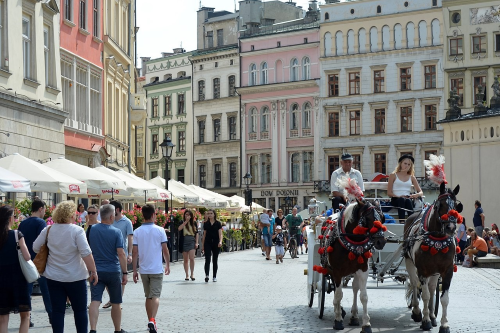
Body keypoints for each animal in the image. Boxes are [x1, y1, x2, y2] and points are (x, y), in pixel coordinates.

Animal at [316, 200, 386, 332]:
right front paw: (338, 320)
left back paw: (354, 316)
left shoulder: (363, 270)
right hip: (331, 270)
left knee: (354, 288)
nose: (381, 241)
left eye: (382, 218)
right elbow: (339, 294)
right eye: (368, 218)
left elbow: (363, 296)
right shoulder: (337, 271)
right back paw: (338, 310)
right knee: (336, 290)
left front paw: (366, 324)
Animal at [402, 182, 460, 332]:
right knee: (414, 284)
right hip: (409, 262)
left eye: (456, 206)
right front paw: (425, 320)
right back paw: (417, 312)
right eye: (440, 205)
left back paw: (433, 316)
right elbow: (425, 295)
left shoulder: (447, 271)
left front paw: (444, 324)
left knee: (432, 287)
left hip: (434, 272)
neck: (437, 238)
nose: (451, 227)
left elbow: (444, 298)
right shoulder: (422, 270)